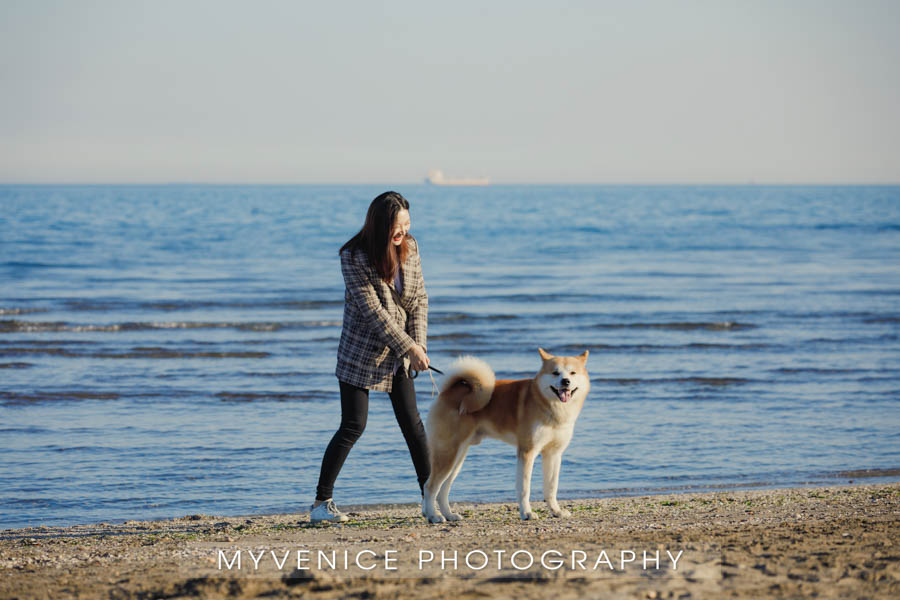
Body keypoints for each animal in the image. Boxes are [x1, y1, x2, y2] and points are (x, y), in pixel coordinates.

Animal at [424, 350, 592, 524]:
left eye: (573, 373)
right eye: (555, 373)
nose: (565, 381)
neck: (550, 406)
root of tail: (447, 392)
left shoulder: (553, 454)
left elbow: (551, 488)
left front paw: (556, 511)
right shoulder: (527, 452)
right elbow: (524, 488)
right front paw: (527, 513)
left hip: (458, 458)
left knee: (443, 489)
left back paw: (449, 515)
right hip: (448, 454)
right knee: (429, 487)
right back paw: (434, 515)